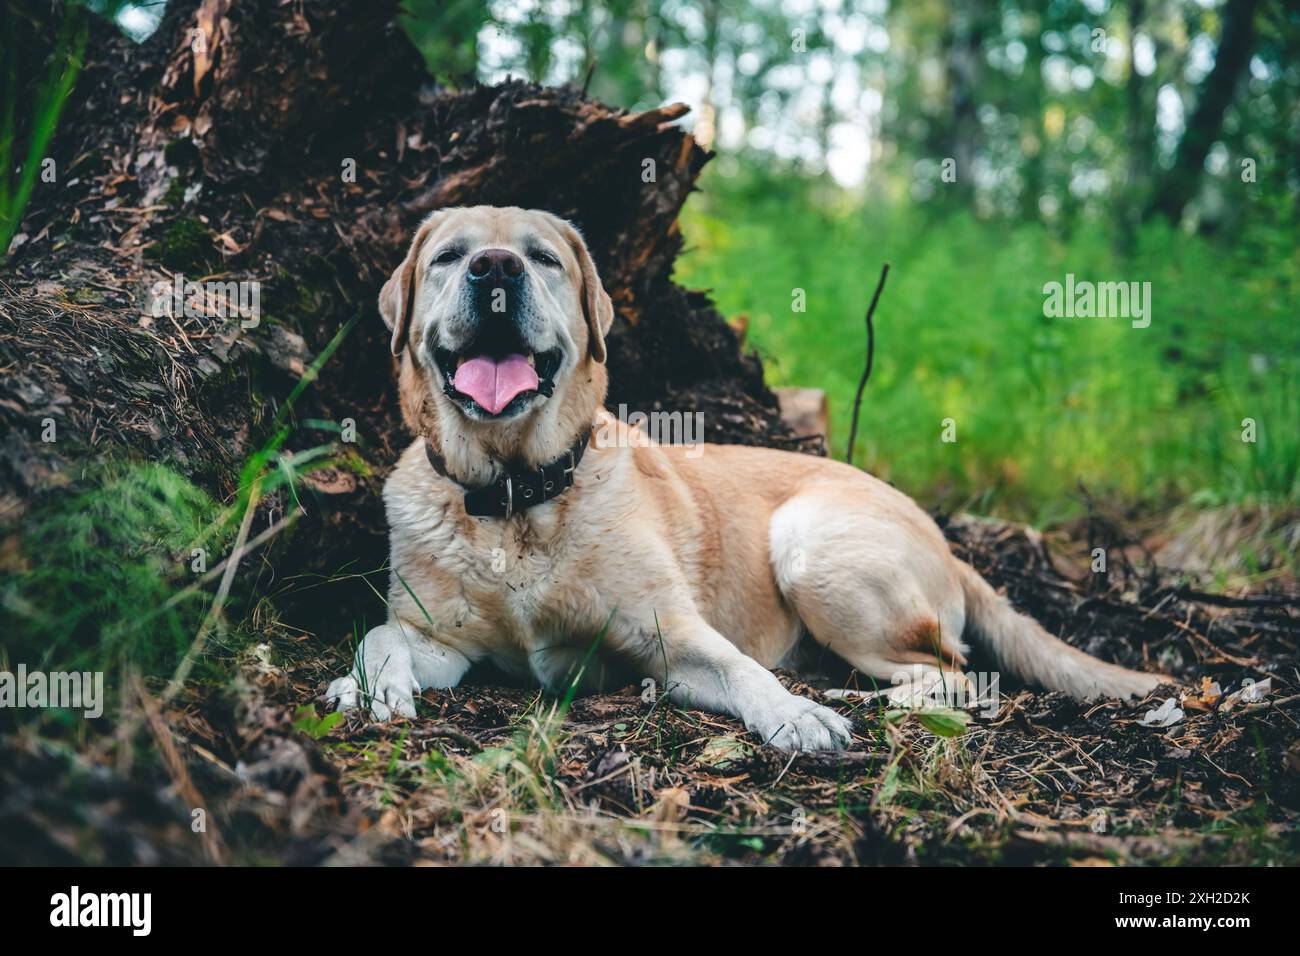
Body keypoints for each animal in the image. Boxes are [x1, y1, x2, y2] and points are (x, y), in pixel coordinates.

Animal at [327, 205, 1170, 749]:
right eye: (447, 256)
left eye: (542, 257)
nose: (494, 267)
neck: (514, 497)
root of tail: (943, 540)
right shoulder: (442, 641)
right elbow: (380, 634)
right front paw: (366, 687)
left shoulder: (671, 636)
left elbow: (739, 670)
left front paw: (795, 716)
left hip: (810, 544)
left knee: (957, 673)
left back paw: (846, 693)